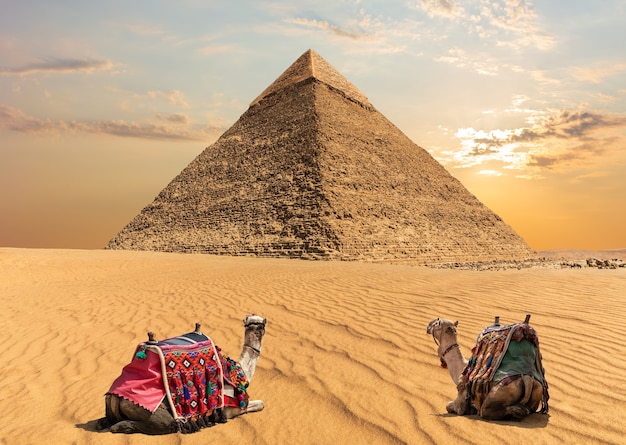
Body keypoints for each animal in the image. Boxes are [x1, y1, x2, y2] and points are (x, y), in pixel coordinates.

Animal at [97, 312, 266, 434]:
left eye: (259, 323)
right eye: (252, 322)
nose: (259, 328)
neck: (237, 372)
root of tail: (115, 396)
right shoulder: (231, 409)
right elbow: (260, 405)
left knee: (104, 421)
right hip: (150, 411)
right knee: (167, 424)